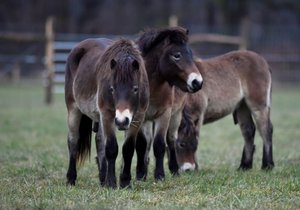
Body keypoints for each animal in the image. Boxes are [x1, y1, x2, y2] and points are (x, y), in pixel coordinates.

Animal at [65, 37, 150, 187]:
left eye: (135, 89)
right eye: (112, 89)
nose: (121, 121)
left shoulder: (138, 117)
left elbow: (128, 149)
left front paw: (125, 182)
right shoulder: (107, 115)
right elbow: (111, 148)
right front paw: (111, 183)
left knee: (99, 142)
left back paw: (102, 179)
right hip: (73, 109)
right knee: (73, 142)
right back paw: (71, 179)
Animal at [134, 25, 204, 180]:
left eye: (190, 54)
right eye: (177, 55)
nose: (197, 82)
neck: (152, 87)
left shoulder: (164, 115)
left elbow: (160, 144)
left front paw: (160, 175)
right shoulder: (140, 116)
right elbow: (141, 144)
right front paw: (140, 174)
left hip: (175, 116)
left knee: (171, 139)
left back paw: (174, 170)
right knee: (148, 142)